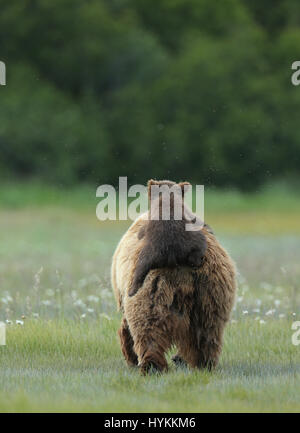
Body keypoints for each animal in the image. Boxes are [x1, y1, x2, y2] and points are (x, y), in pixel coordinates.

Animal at [110, 177, 237, 372]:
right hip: (210, 295)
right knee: (208, 332)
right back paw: (203, 363)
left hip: (153, 290)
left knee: (147, 328)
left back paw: (151, 365)